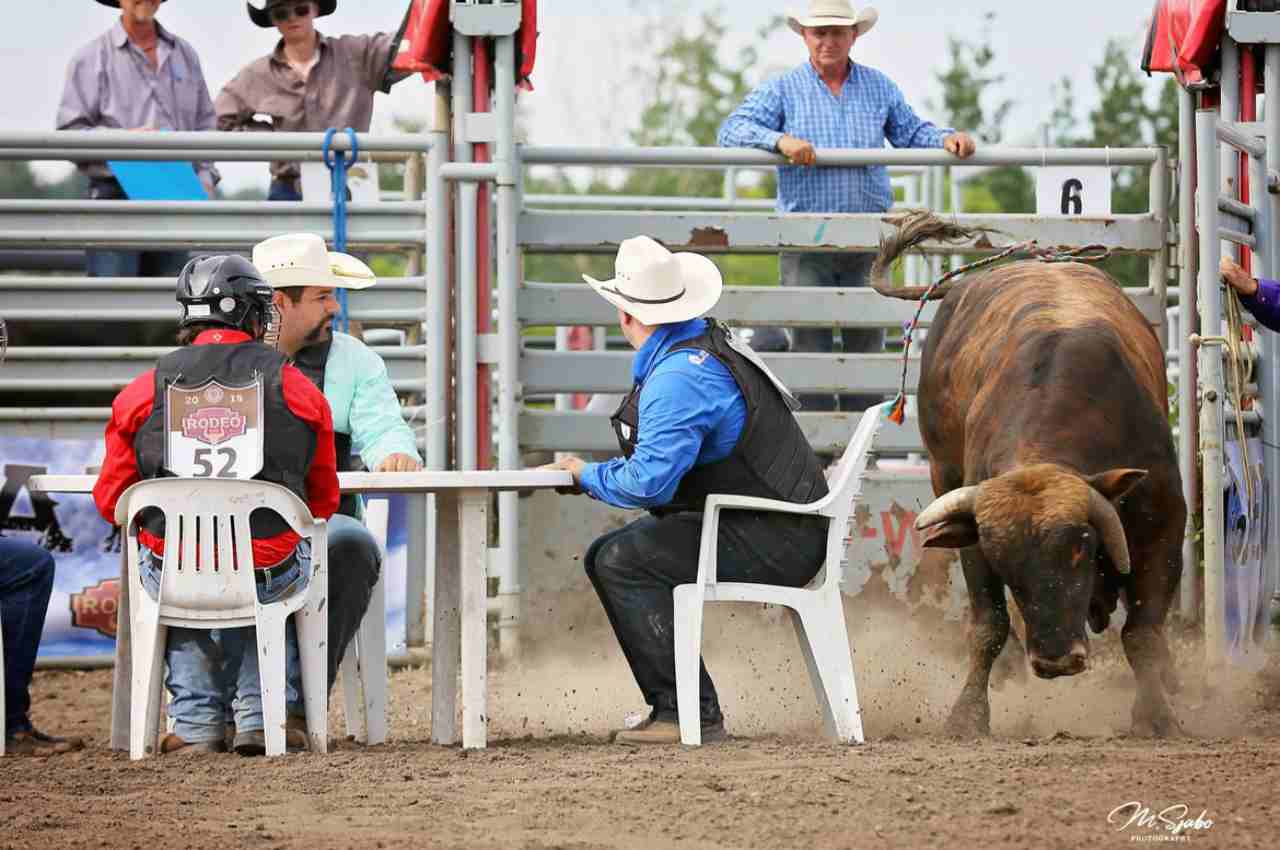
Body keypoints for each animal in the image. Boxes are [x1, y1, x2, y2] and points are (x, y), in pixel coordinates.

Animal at [875, 213, 1182, 737]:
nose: (1057, 660)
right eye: (1006, 564)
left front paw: (1157, 714)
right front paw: (968, 713)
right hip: (941, 469)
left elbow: (1143, 632)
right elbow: (989, 626)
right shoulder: (974, 541)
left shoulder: (1163, 524)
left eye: (1081, 546)